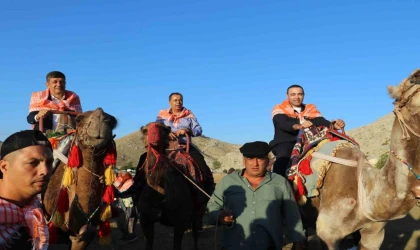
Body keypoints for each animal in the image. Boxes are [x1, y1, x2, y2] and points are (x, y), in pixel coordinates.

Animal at [135, 122, 200, 250]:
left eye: (165, 130)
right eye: (145, 131)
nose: (154, 138)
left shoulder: (181, 221)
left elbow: (177, 245)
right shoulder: (145, 219)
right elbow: (148, 244)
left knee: (195, 232)